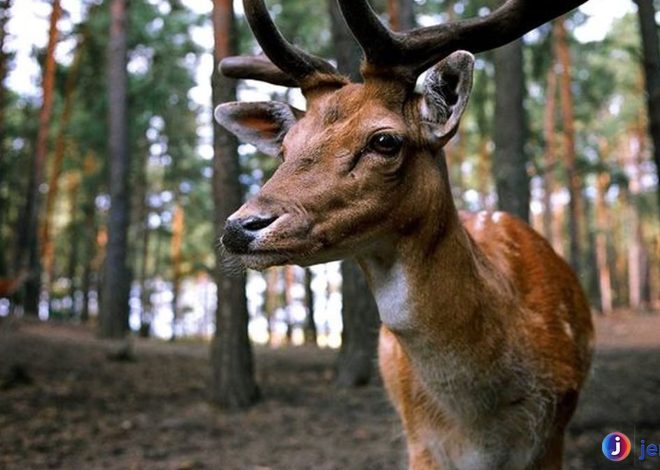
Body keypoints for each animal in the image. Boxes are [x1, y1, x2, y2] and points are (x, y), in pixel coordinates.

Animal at [215, 1, 592, 468]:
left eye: (385, 140)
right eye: (285, 149)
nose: (239, 226)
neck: (481, 429)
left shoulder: (553, 434)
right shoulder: (420, 442)